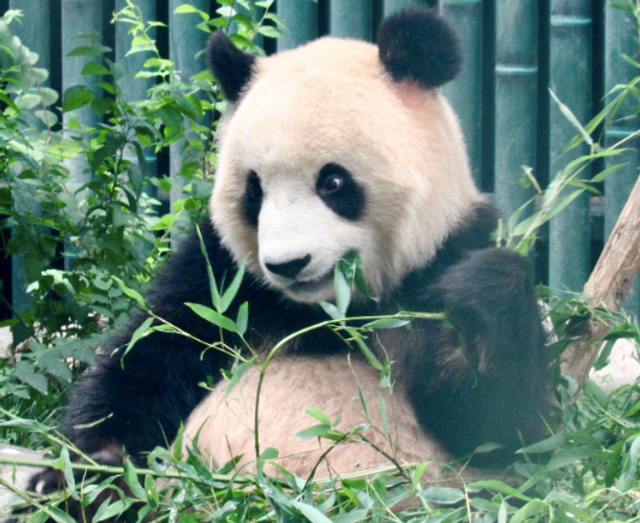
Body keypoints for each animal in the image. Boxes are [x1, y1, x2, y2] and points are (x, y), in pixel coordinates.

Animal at [30, 6, 550, 503]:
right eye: (254, 190)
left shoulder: (445, 252)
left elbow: (501, 431)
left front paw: (484, 292)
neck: (329, 312)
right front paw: (77, 473)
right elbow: (145, 362)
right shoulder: (221, 278)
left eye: (333, 182)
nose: (287, 265)